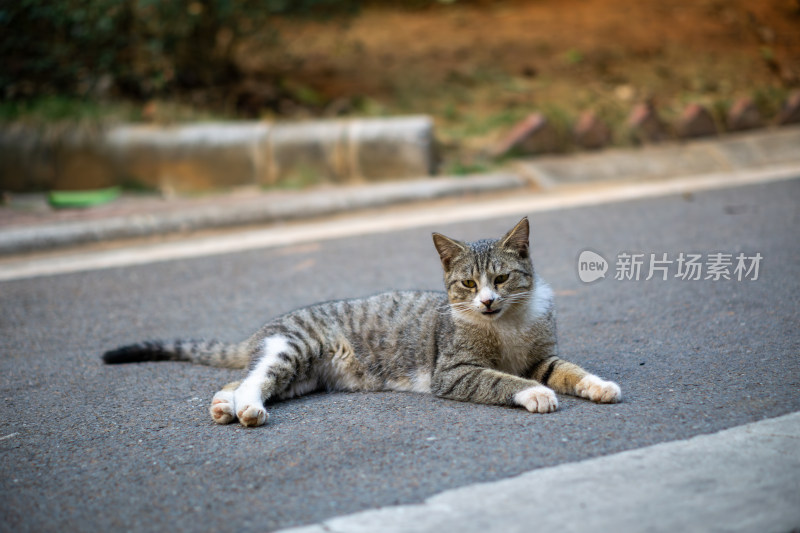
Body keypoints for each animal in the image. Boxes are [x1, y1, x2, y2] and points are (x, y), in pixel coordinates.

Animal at [103, 214, 620, 426]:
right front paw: (535, 395)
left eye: (502, 277)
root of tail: (269, 326)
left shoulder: (540, 356)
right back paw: (246, 409)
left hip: (301, 377)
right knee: (254, 380)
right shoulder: (454, 372)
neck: (504, 325)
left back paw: (223, 404)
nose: (488, 301)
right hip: (293, 348)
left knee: (241, 380)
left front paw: (597, 385)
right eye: (469, 284)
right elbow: (502, 379)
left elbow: (565, 369)